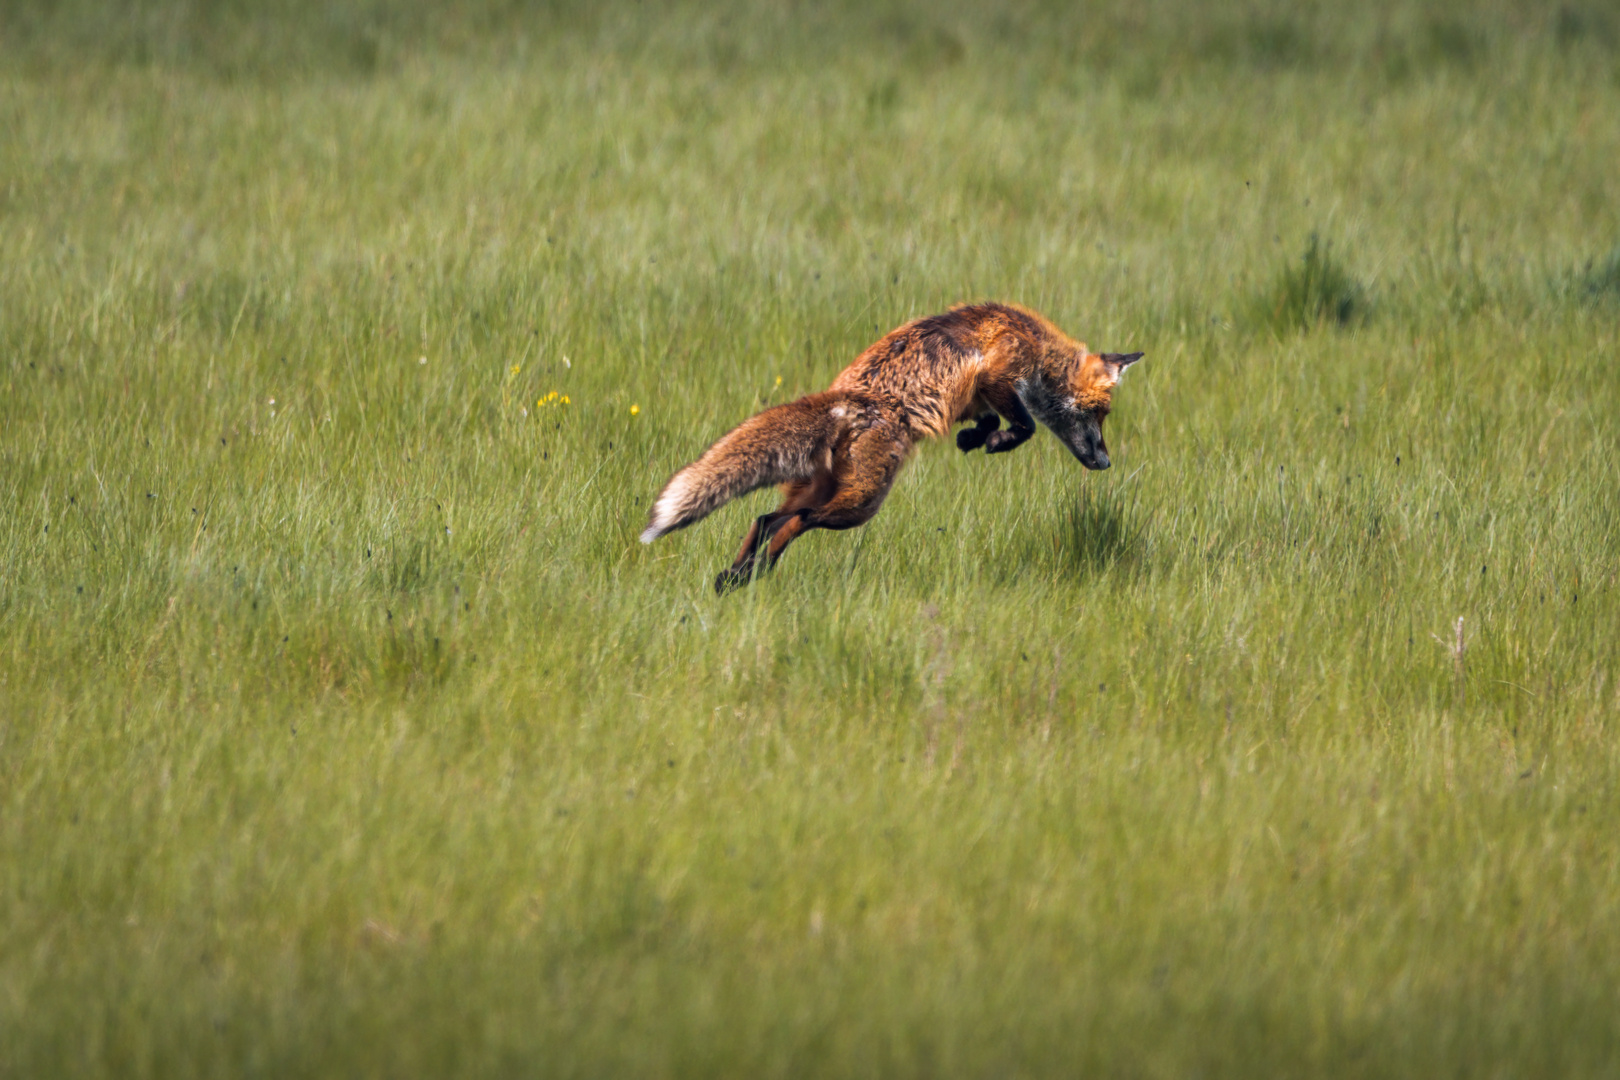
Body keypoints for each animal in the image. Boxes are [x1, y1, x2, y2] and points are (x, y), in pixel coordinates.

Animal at [638, 302, 1146, 592]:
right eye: (1101, 414)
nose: (1105, 461)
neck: (1038, 347)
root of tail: (847, 401)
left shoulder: (975, 396)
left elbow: (985, 419)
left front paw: (974, 438)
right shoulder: (999, 375)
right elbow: (1024, 425)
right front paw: (999, 441)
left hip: (827, 491)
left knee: (765, 519)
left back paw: (737, 576)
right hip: (861, 503)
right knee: (797, 522)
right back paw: (756, 572)